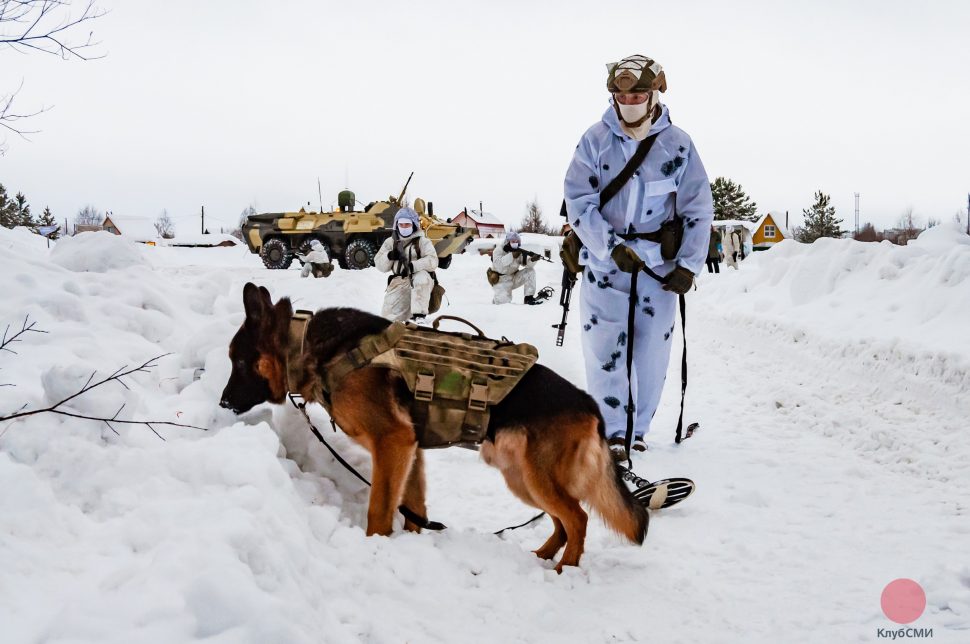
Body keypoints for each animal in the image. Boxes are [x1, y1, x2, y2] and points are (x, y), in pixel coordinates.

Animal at [218, 284, 644, 572]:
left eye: (238, 362)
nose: (223, 403)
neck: (305, 345)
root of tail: (590, 404)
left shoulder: (393, 442)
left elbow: (379, 509)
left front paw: (376, 547)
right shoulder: (410, 451)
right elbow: (414, 507)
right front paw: (412, 542)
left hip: (537, 477)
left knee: (578, 519)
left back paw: (563, 569)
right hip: (523, 477)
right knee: (562, 521)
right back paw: (541, 556)